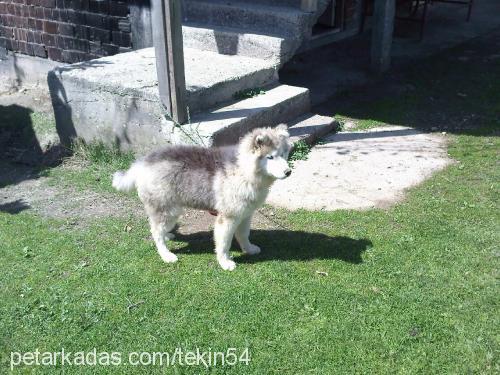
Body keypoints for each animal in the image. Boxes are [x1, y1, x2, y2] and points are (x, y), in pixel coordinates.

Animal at [112, 125, 292, 270]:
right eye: (270, 157)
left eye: (284, 154)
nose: (288, 172)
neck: (243, 170)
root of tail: (142, 163)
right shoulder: (228, 217)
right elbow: (224, 242)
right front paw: (225, 262)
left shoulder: (245, 214)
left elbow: (243, 234)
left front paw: (249, 249)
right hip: (167, 210)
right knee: (155, 232)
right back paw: (166, 255)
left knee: (158, 229)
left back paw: (168, 235)